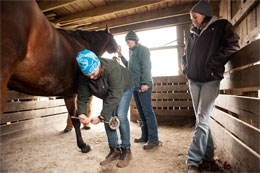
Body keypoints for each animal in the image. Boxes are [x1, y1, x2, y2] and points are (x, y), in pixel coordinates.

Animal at [0, 0, 117, 153]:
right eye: (113, 38)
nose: (119, 48)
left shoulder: (69, 94)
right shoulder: (71, 94)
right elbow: (76, 119)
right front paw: (83, 145)